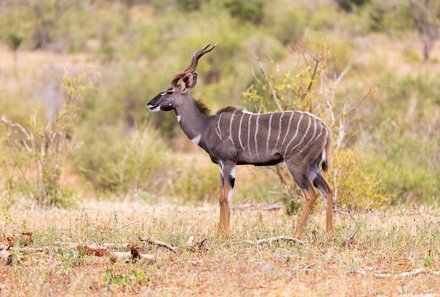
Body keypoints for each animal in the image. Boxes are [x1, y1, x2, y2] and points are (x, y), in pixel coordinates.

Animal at [146, 44, 332, 238]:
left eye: (169, 91)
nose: (149, 103)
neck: (206, 126)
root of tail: (324, 128)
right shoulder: (221, 166)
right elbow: (221, 197)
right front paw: (219, 233)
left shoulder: (229, 162)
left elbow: (226, 197)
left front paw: (226, 234)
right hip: (312, 166)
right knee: (327, 191)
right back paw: (330, 233)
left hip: (296, 165)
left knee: (311, 194)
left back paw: (295, 235)